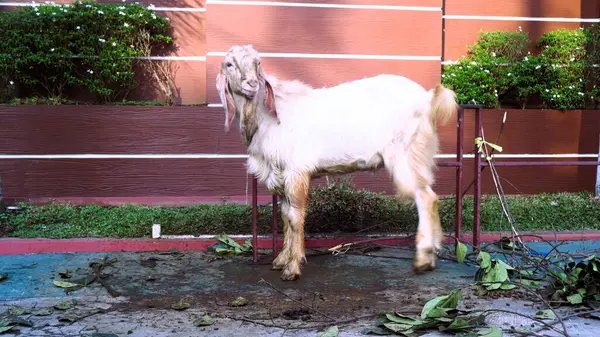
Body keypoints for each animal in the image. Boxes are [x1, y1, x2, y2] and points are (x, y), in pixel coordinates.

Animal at [218, 45, 458, 280]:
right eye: (229, 64)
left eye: (257, 63)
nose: (251, 84)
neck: (267, 115)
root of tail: (428, 99)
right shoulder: (282, 172)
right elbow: (285, 216)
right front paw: (281, 260)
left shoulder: (296, 170)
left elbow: (295, 217)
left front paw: (292, 268)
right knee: (432, 198)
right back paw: (433, 253)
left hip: (407, 155)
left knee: (426, 198)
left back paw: (423, 259)